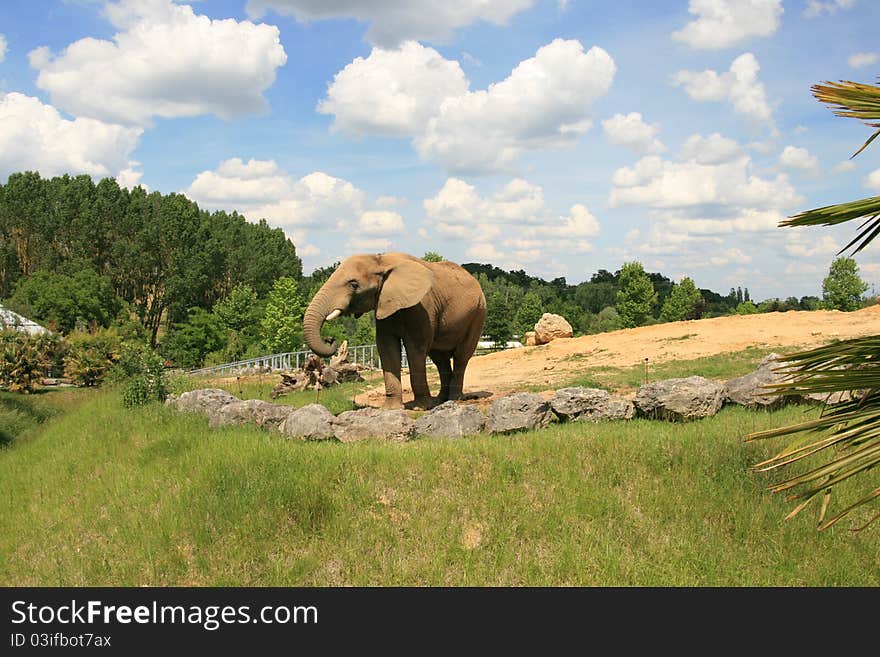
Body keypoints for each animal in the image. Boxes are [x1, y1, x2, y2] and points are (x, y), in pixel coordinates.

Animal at [304, 254, 488, 408]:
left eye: (354, 284)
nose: (330, 338)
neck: (381, 260)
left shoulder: (421, 308)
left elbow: (415, 349)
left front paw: (421, 407)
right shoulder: (384, 306)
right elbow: (386, 348)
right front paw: (391, 409)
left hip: (478, 313)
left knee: (461, 356)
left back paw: (454, 399)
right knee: (439, 358)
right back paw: (441, 400)